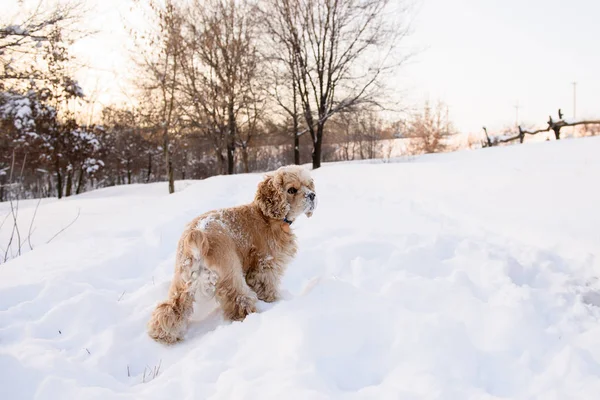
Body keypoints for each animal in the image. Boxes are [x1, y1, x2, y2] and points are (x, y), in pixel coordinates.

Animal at [148, 166, 316, 344]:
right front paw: (273, 301)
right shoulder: (265, 264)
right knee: (239, 300)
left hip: (183, 279)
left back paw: (163, 334)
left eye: (308, 185)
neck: (267, 216)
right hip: (230, 273)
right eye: (291, 190)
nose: (312, 195)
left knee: (171, 308)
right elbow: (266, 286)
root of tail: (198, 234)